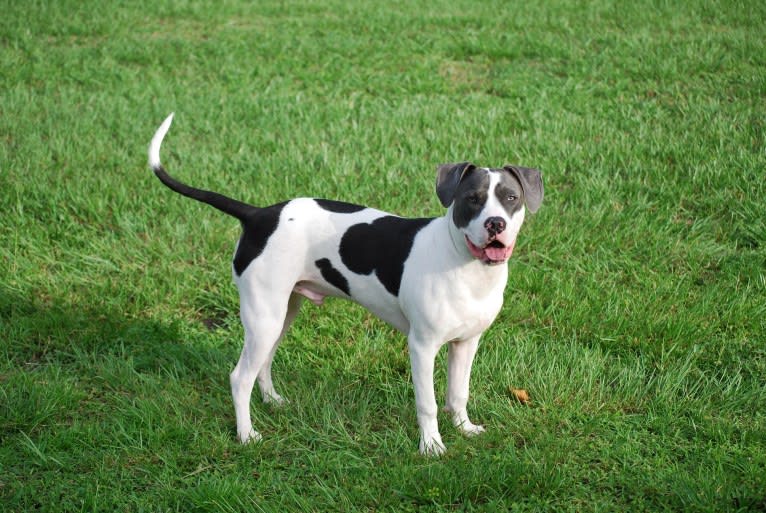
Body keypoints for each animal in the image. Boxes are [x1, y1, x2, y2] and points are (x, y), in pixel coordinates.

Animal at [147, 113, 544, 452]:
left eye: (511, 198)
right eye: (472, 200)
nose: (495, 224)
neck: (463, 264)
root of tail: (258, 215)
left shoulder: (466, 343)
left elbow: (459, 393)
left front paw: (463, 428)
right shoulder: (422, 346)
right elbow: (428, 402)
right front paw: (431, 446)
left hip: (280, 314)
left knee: (263, 362)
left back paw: (273, 402)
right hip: (264, 317)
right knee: (239, 377)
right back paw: (247, 435)